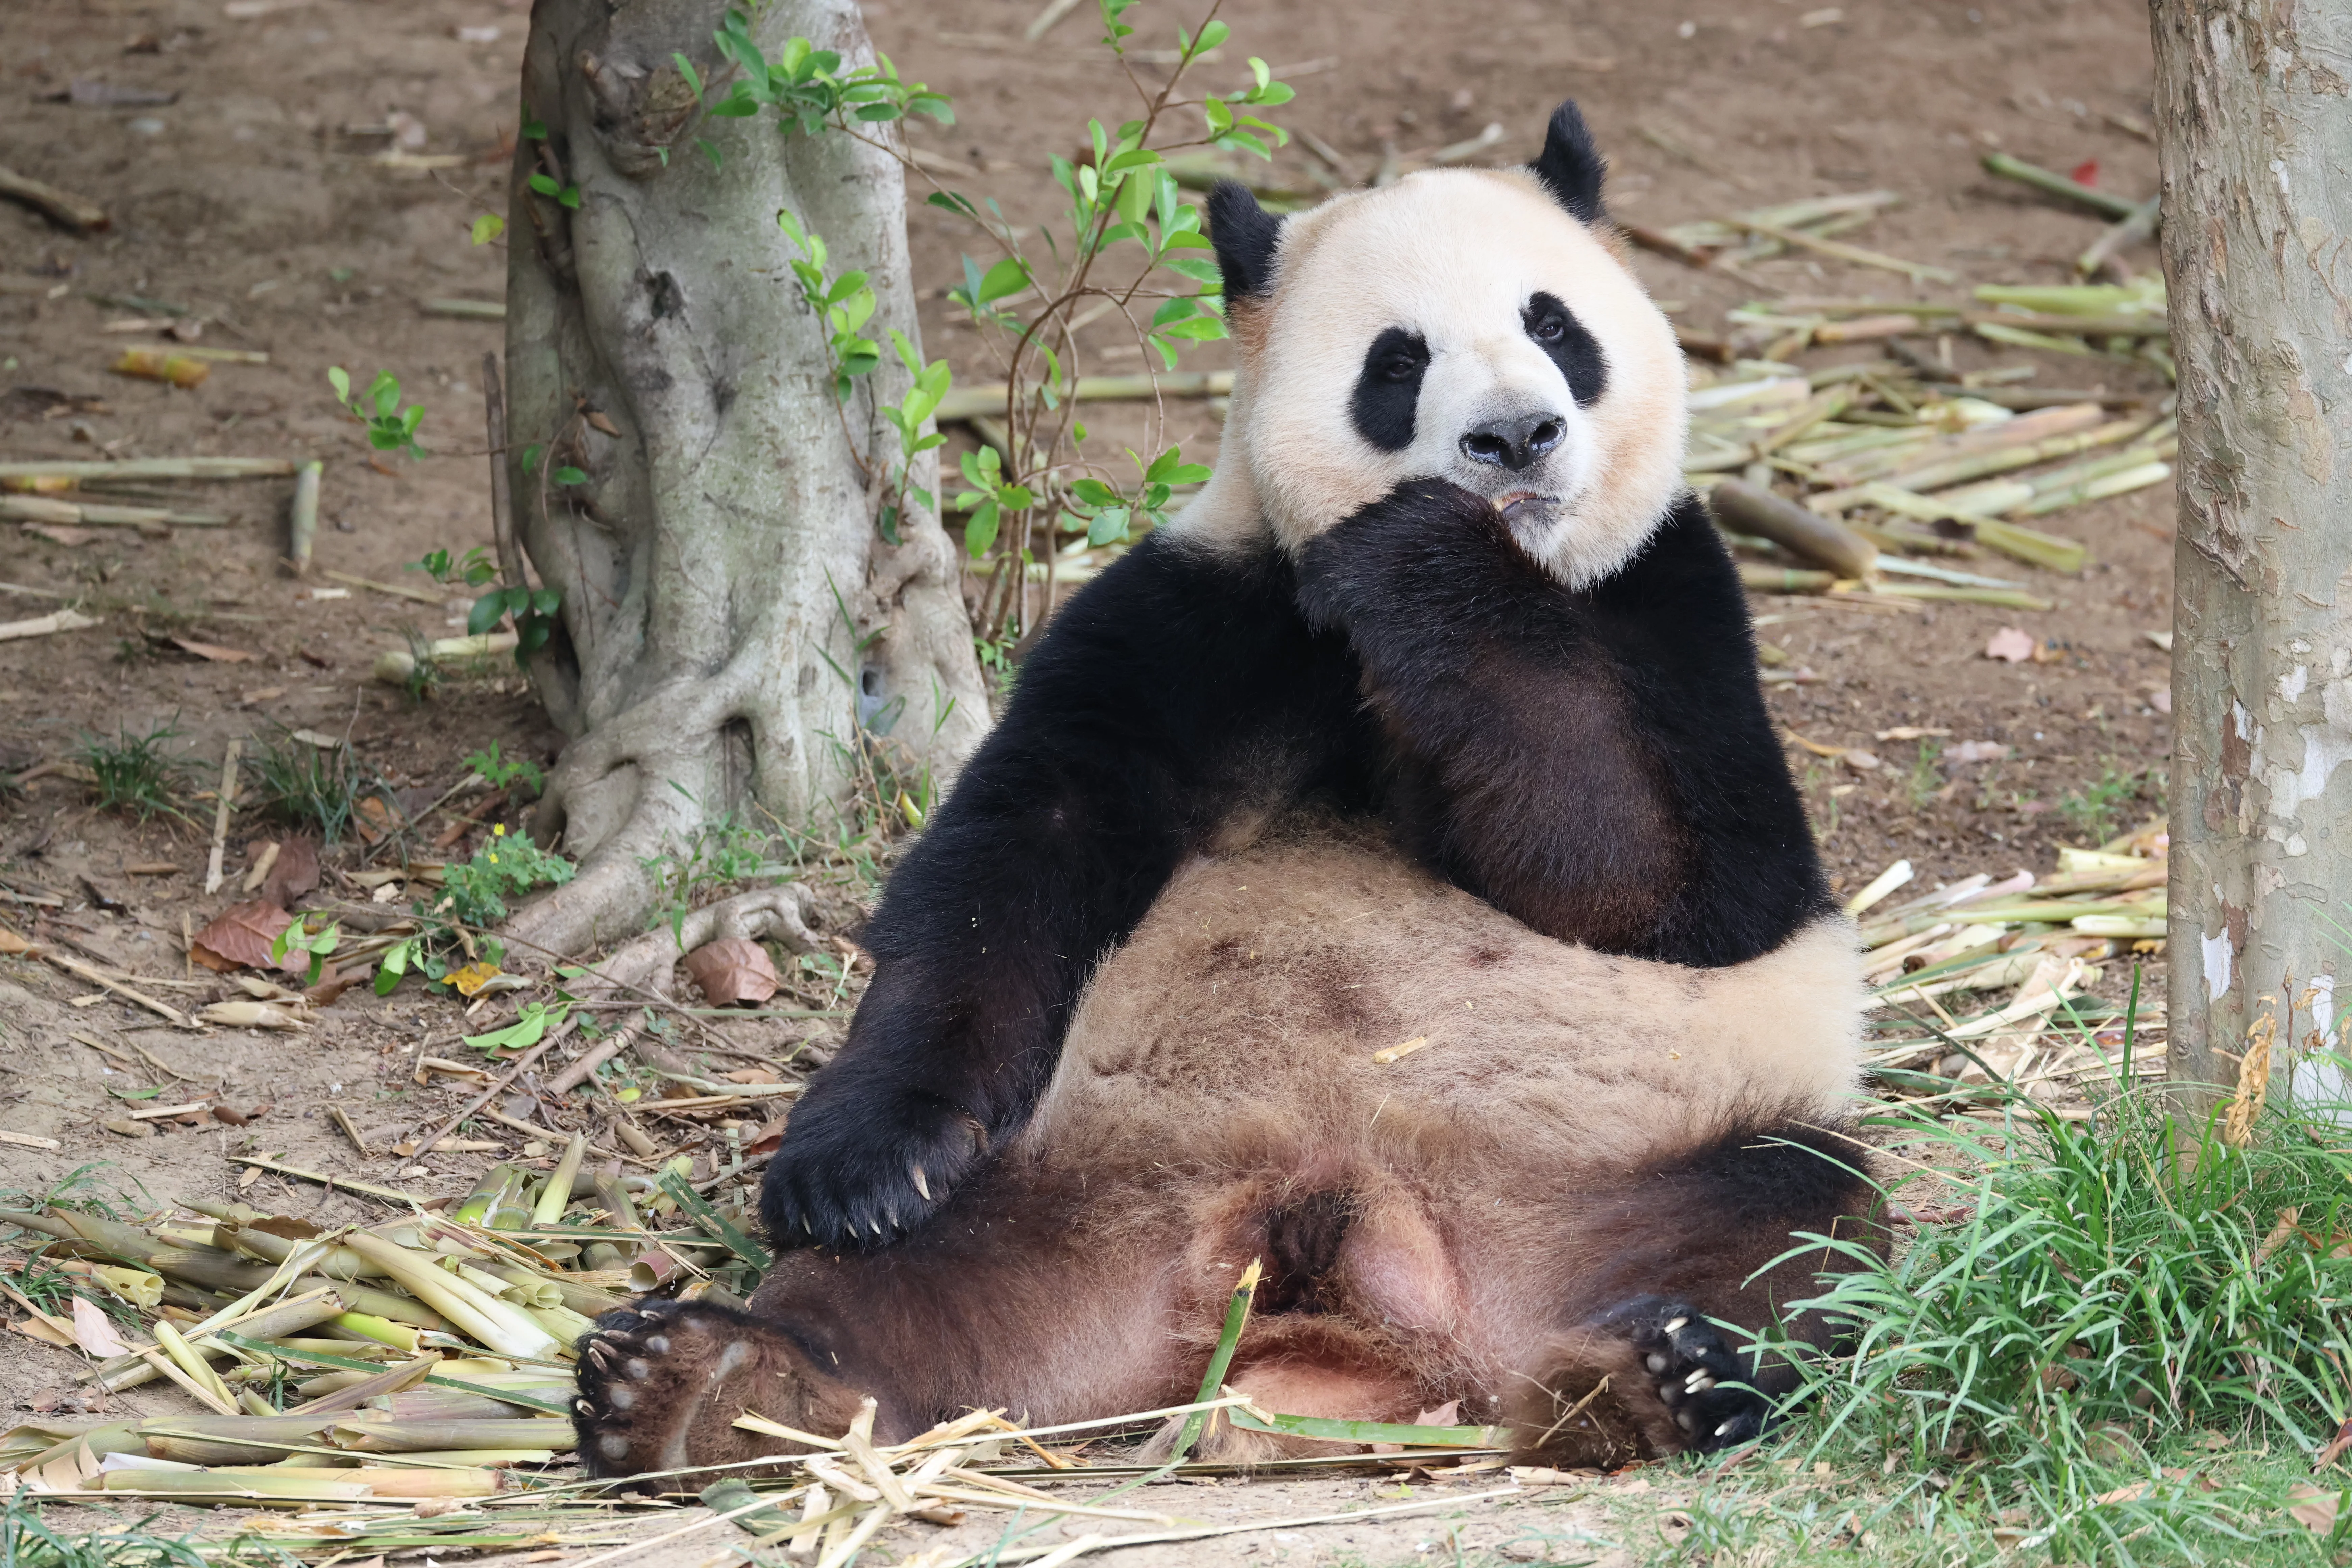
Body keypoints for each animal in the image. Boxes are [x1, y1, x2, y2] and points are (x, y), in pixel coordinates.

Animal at [572, 101, 1879, 1480]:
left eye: (1555, 327)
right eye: (1397, 362)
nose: (1515, 437)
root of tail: (1347, 1295)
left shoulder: (1672, 598)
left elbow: (1677, 885)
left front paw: (1419, 559)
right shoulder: (1194, 610)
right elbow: (1011, 862)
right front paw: (857, 1167)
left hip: (1618, 1173)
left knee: (1795, 1219)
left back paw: (1653, 1379)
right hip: (1085, 1195)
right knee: (905, 1284)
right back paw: (713, 1383)